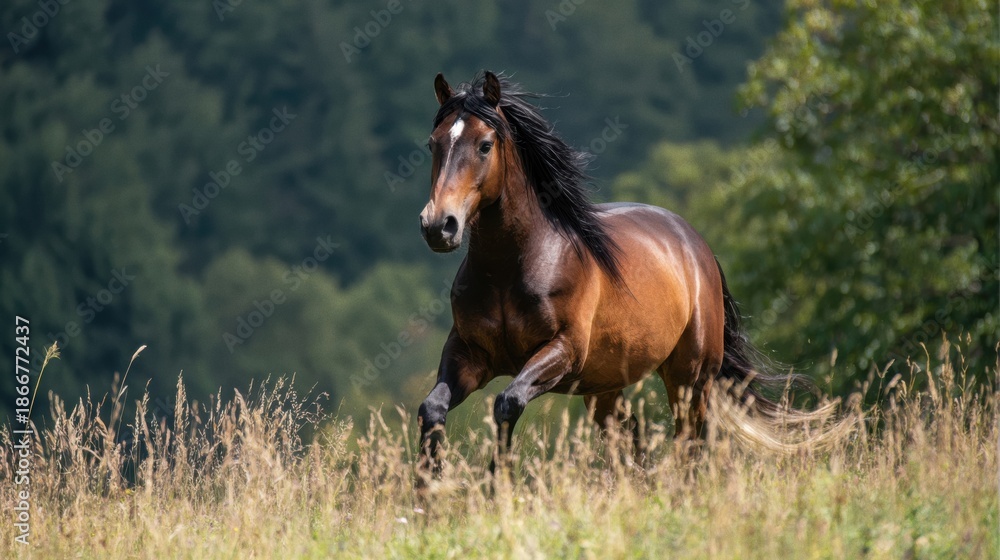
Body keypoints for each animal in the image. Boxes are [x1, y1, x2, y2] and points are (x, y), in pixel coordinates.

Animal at [416, 71, 847, 473]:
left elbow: (507, 403)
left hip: (689, 377)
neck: (511, 268)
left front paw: (496, 482)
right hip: (603, 388)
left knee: (690, 440)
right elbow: (431, 409)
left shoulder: (563, 351)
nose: (439, 226)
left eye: (485, 145)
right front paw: (430, 485)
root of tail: (697, 245)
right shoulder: (468, 353)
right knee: (631, 437)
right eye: (433, 143)